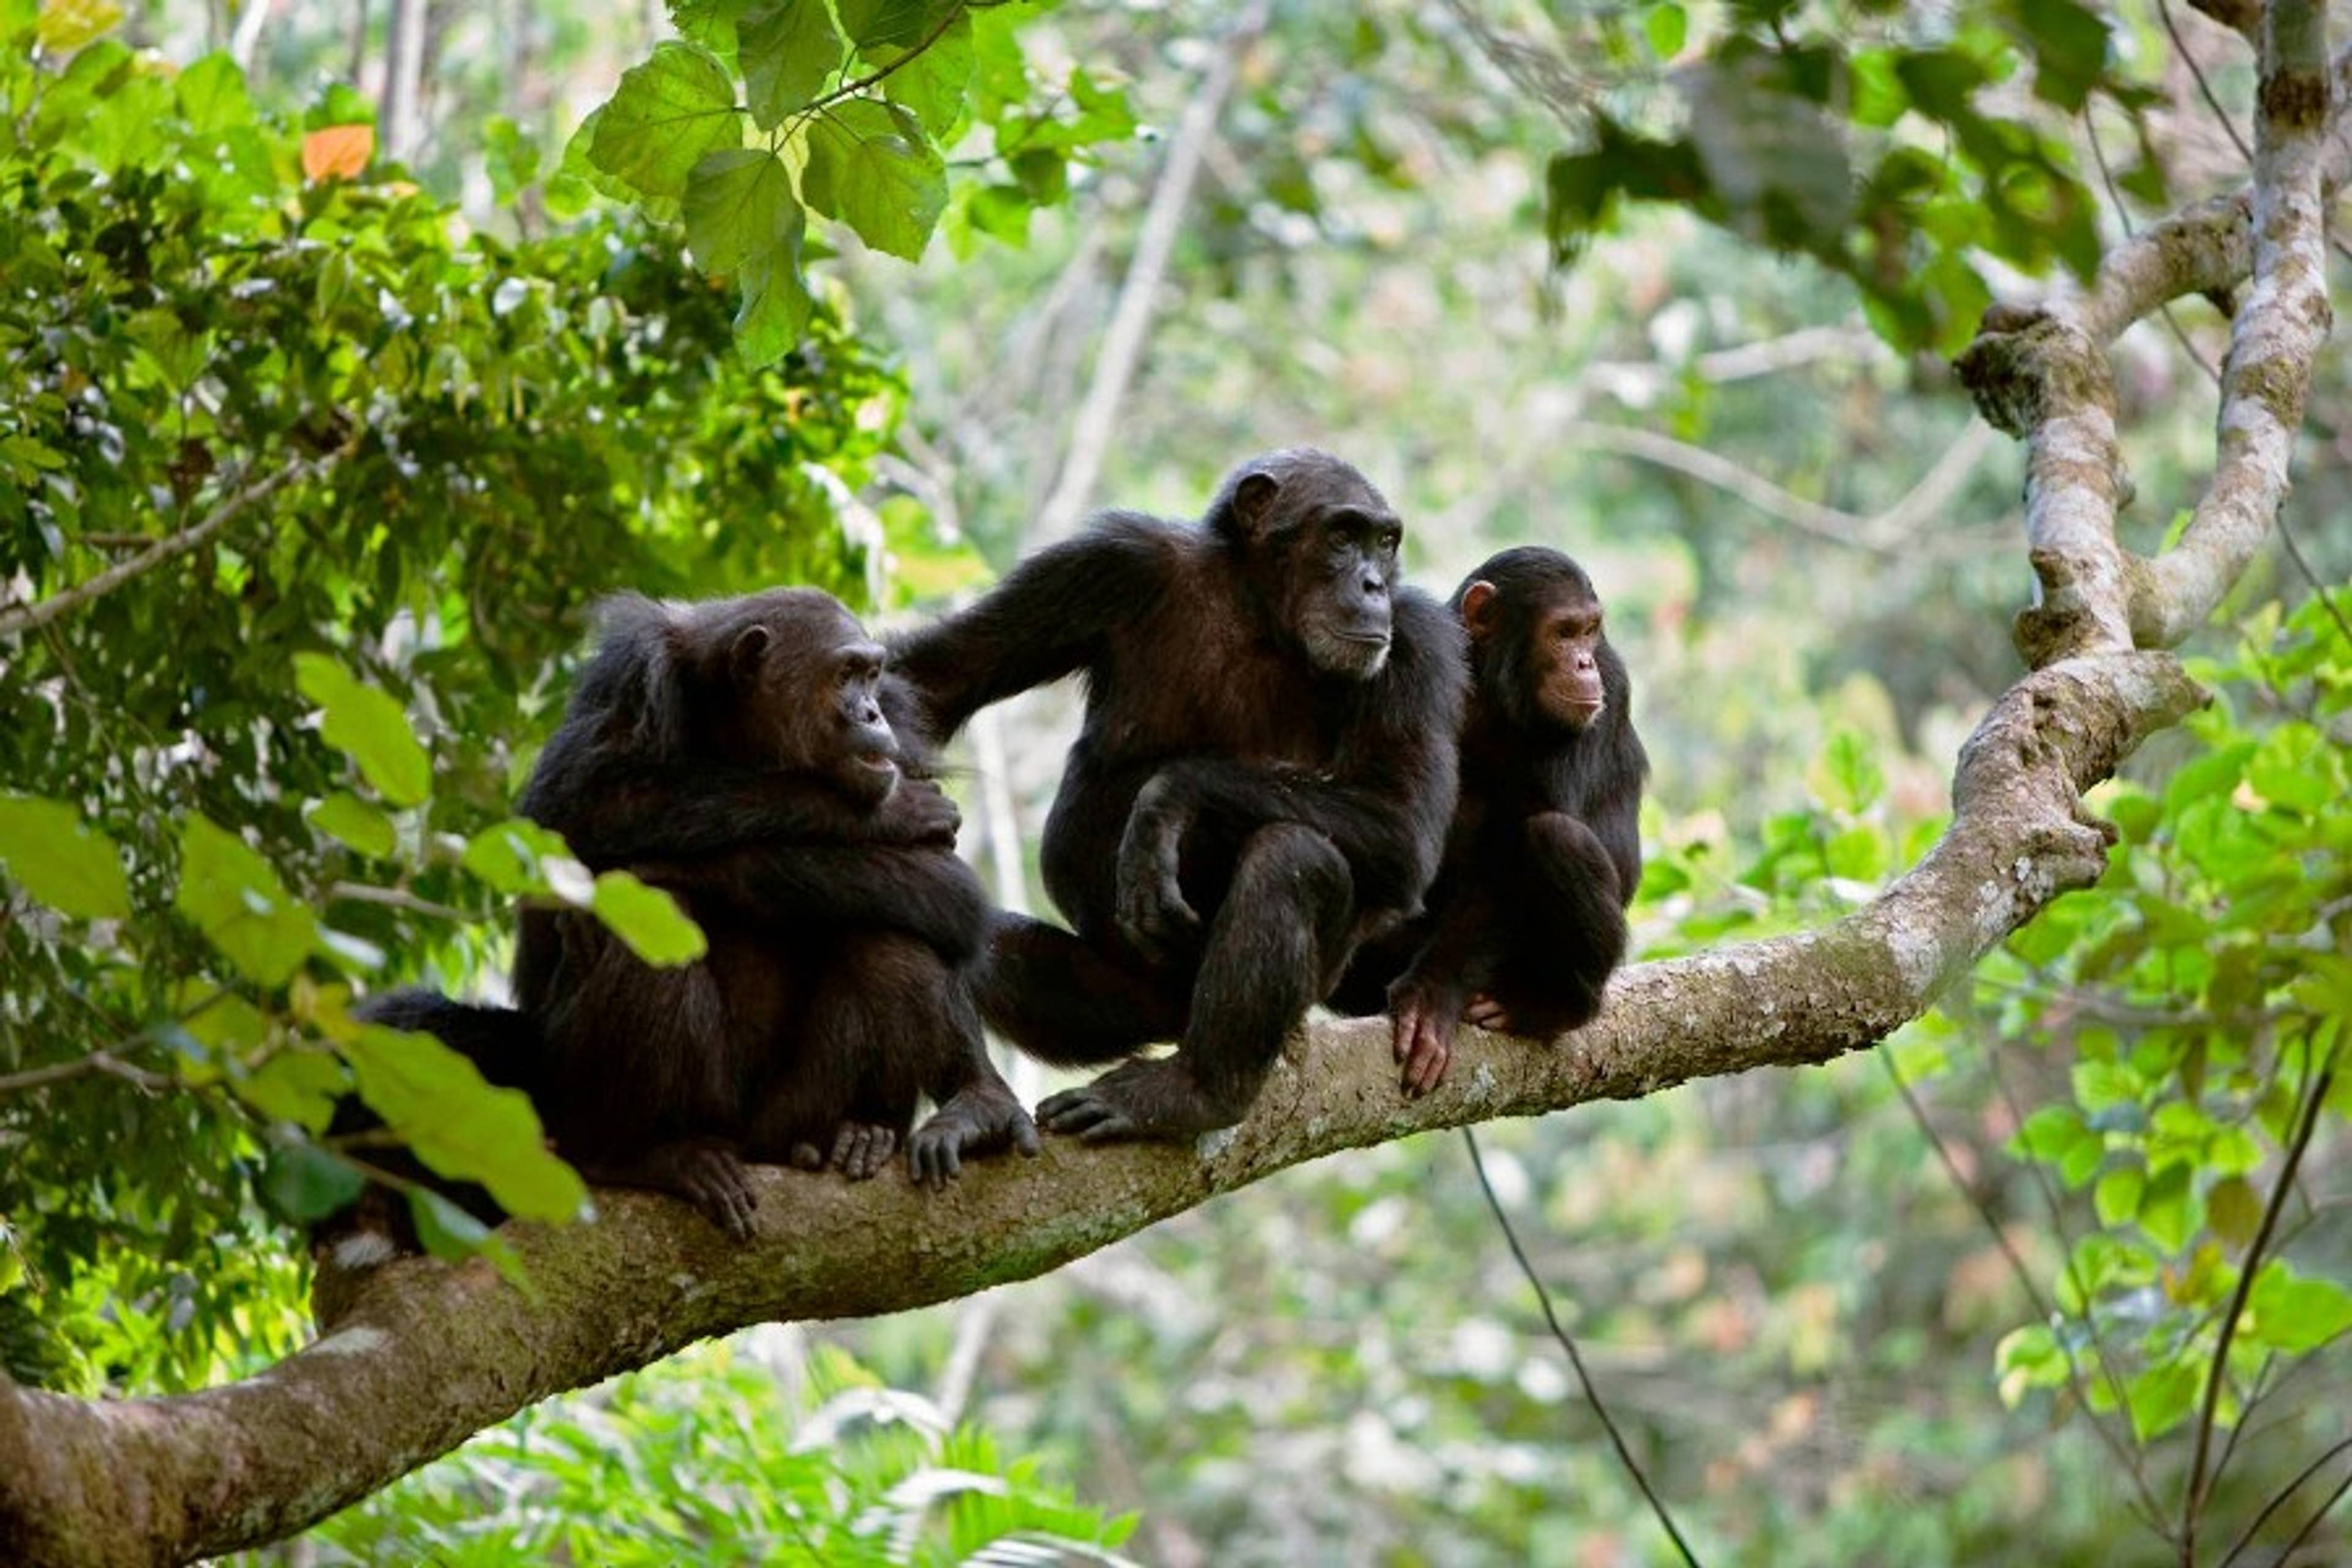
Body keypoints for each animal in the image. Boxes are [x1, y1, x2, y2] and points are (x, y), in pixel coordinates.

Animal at [343, 587, 1039, 1250]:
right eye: (845, 675)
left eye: (871, 676)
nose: (868, 714)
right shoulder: (630, 676)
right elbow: (581, 811)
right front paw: (883, 812)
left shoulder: (902, 719)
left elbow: (944, 887)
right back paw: (639, 1155)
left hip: (788, 1117)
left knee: (894, 932)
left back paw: (887, 1125)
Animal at [889, 447, 1458, 1147]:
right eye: (1343, 536)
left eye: (1385, 542)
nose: (1374, 584)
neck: (1260, 611)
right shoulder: (1107, 562)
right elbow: (935, 678)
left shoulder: (1420, 642)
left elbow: (1403, 822)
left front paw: (1166, 800)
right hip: (1122, 1000)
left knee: (1294, 858)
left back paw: (1196, 1093)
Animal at [1336, 545, 1646, 1100]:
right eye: (1564, 632)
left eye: (1590, 631)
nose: (1583, 662)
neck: (1489, 689)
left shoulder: (1609, 681)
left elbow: (1513, 849)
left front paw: (1431, 996)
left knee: (1554, 837)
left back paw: (1555, 1007)